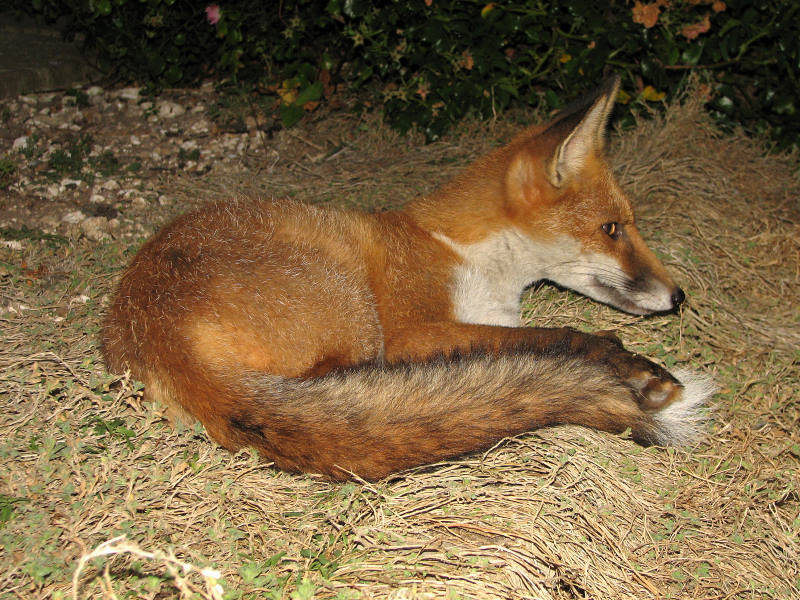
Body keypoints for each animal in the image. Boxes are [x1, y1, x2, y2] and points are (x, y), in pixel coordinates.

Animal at [103, 76, 713, 481]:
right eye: (612, 228)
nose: (679, 296)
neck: (466, 256)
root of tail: (157, 330)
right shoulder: (413, 330)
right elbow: (557, 337)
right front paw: (632, 367)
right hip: (351, 311)